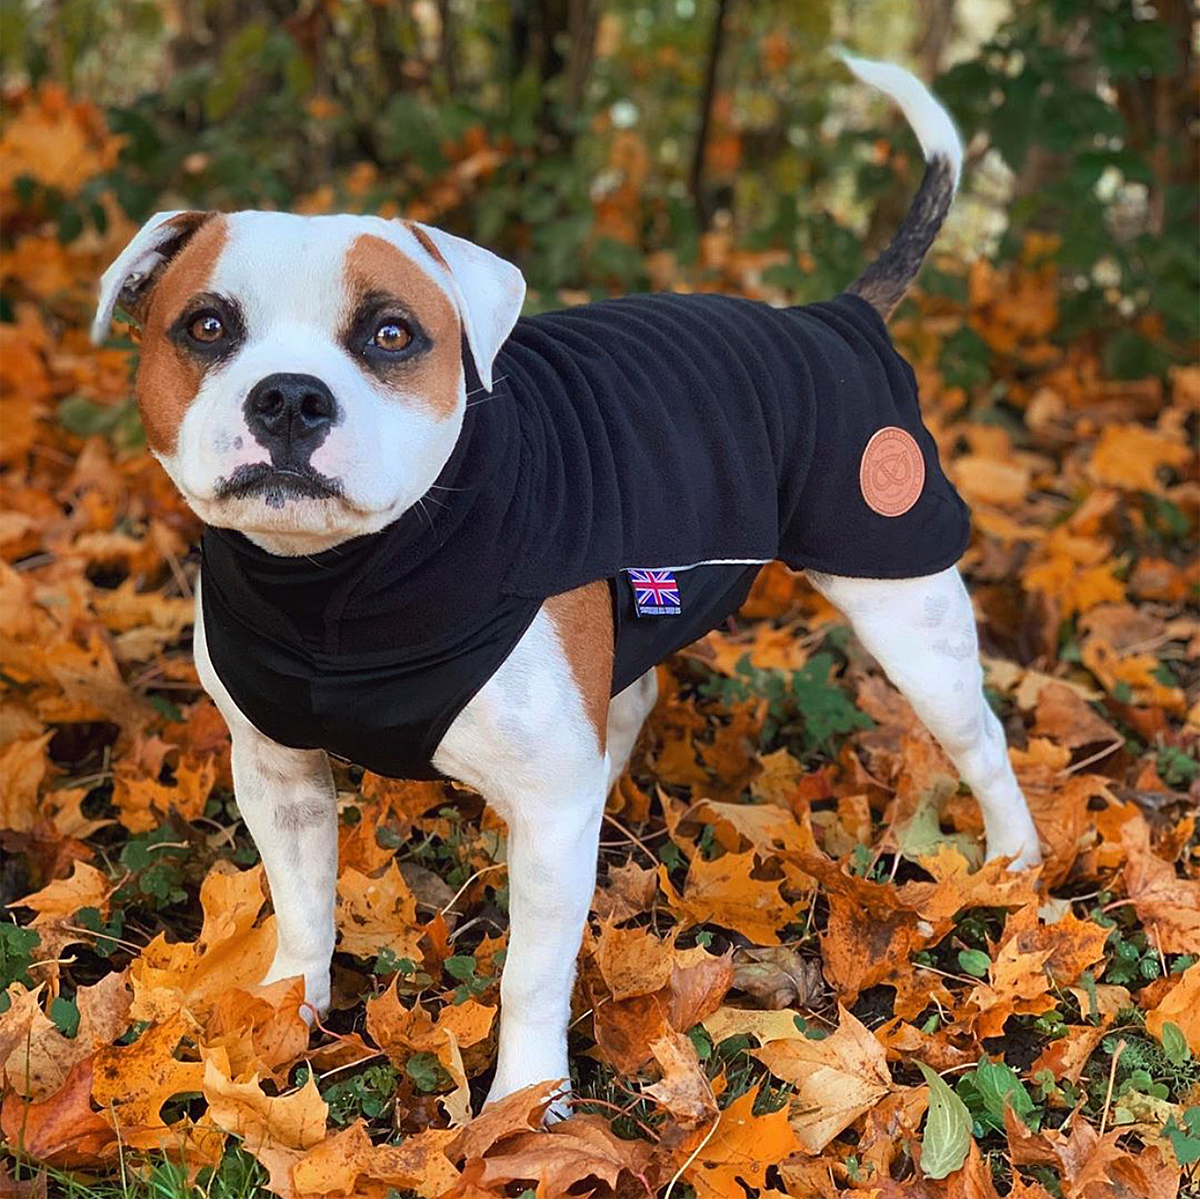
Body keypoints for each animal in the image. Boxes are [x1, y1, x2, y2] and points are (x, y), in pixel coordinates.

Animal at [91, 58, 1041, 1113]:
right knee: (631, 702)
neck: (341, 585)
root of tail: (835, 317)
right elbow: (303, 906)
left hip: (908, 609)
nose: (291, 397)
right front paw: (286, 1016)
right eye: (207, 325)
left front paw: (526, 1106)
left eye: (391, 334)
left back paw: (1015, 866)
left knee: (981, 738)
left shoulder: (545, 816)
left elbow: (530, 975)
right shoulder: (278, 771)